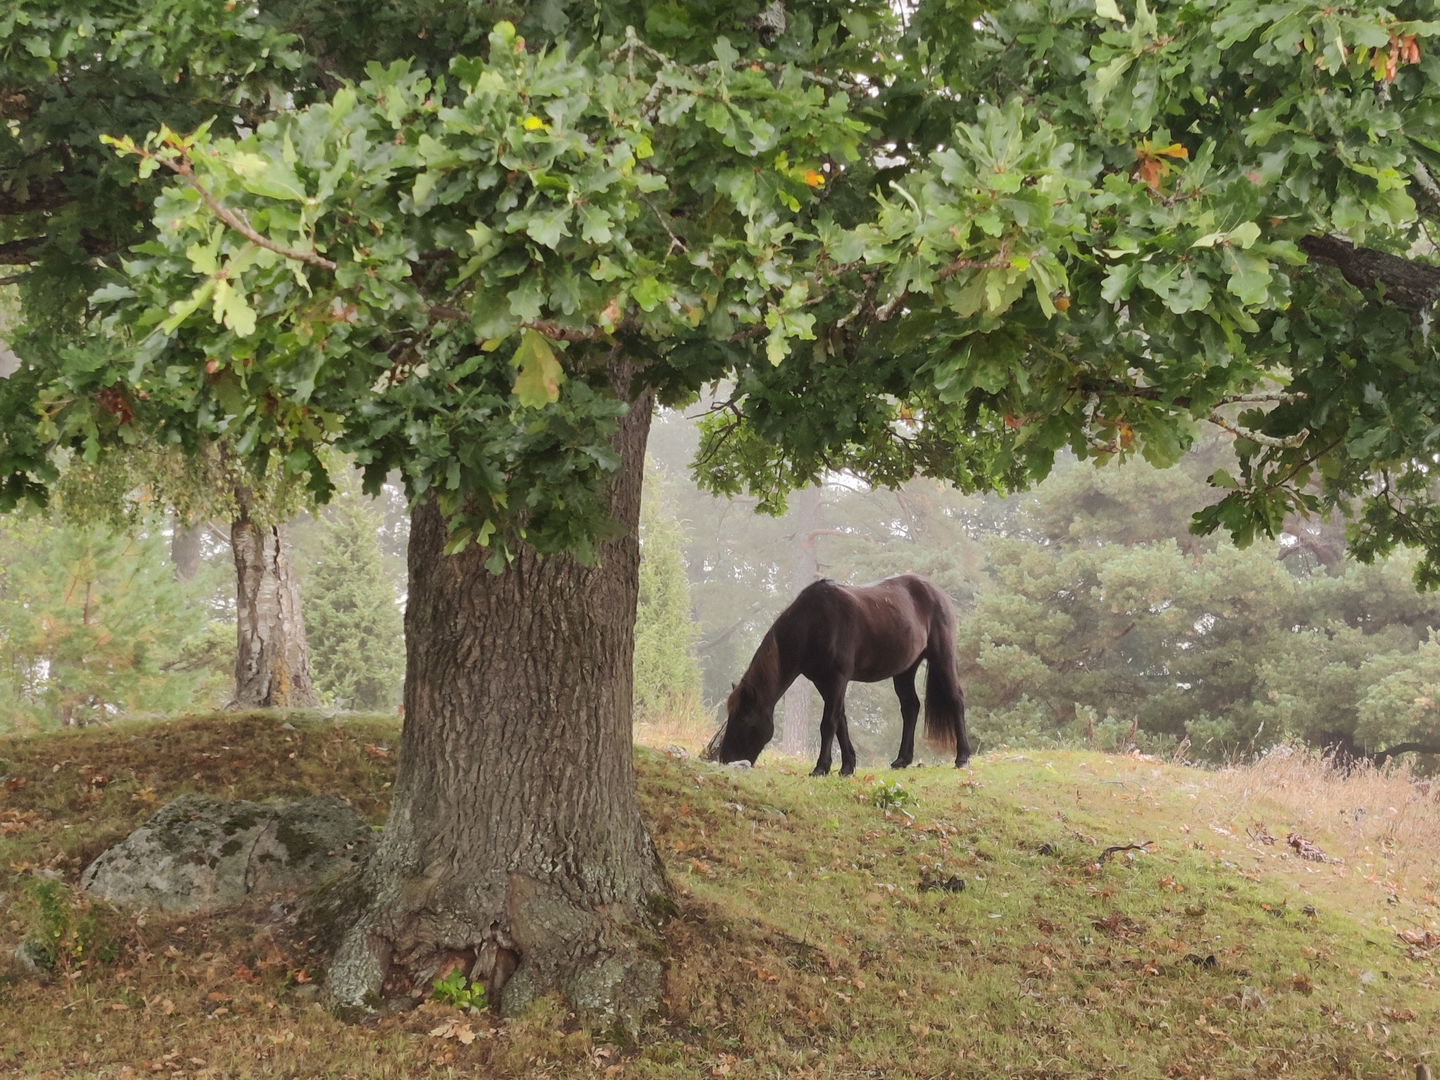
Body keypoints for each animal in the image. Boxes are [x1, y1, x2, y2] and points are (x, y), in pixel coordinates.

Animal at [708, 576, 967, 777]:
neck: (812, 622)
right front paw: (847, 766)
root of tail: (938, 592)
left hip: (942, 658)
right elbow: (841, 721)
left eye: (744, 717)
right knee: (911, 707)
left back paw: (962, 757)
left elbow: (828, 722)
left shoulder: (837, 679)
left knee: (956, 699)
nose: (725, 759)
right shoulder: (823, 682)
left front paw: (821, 768)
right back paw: (902, 760)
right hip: (905, 670)